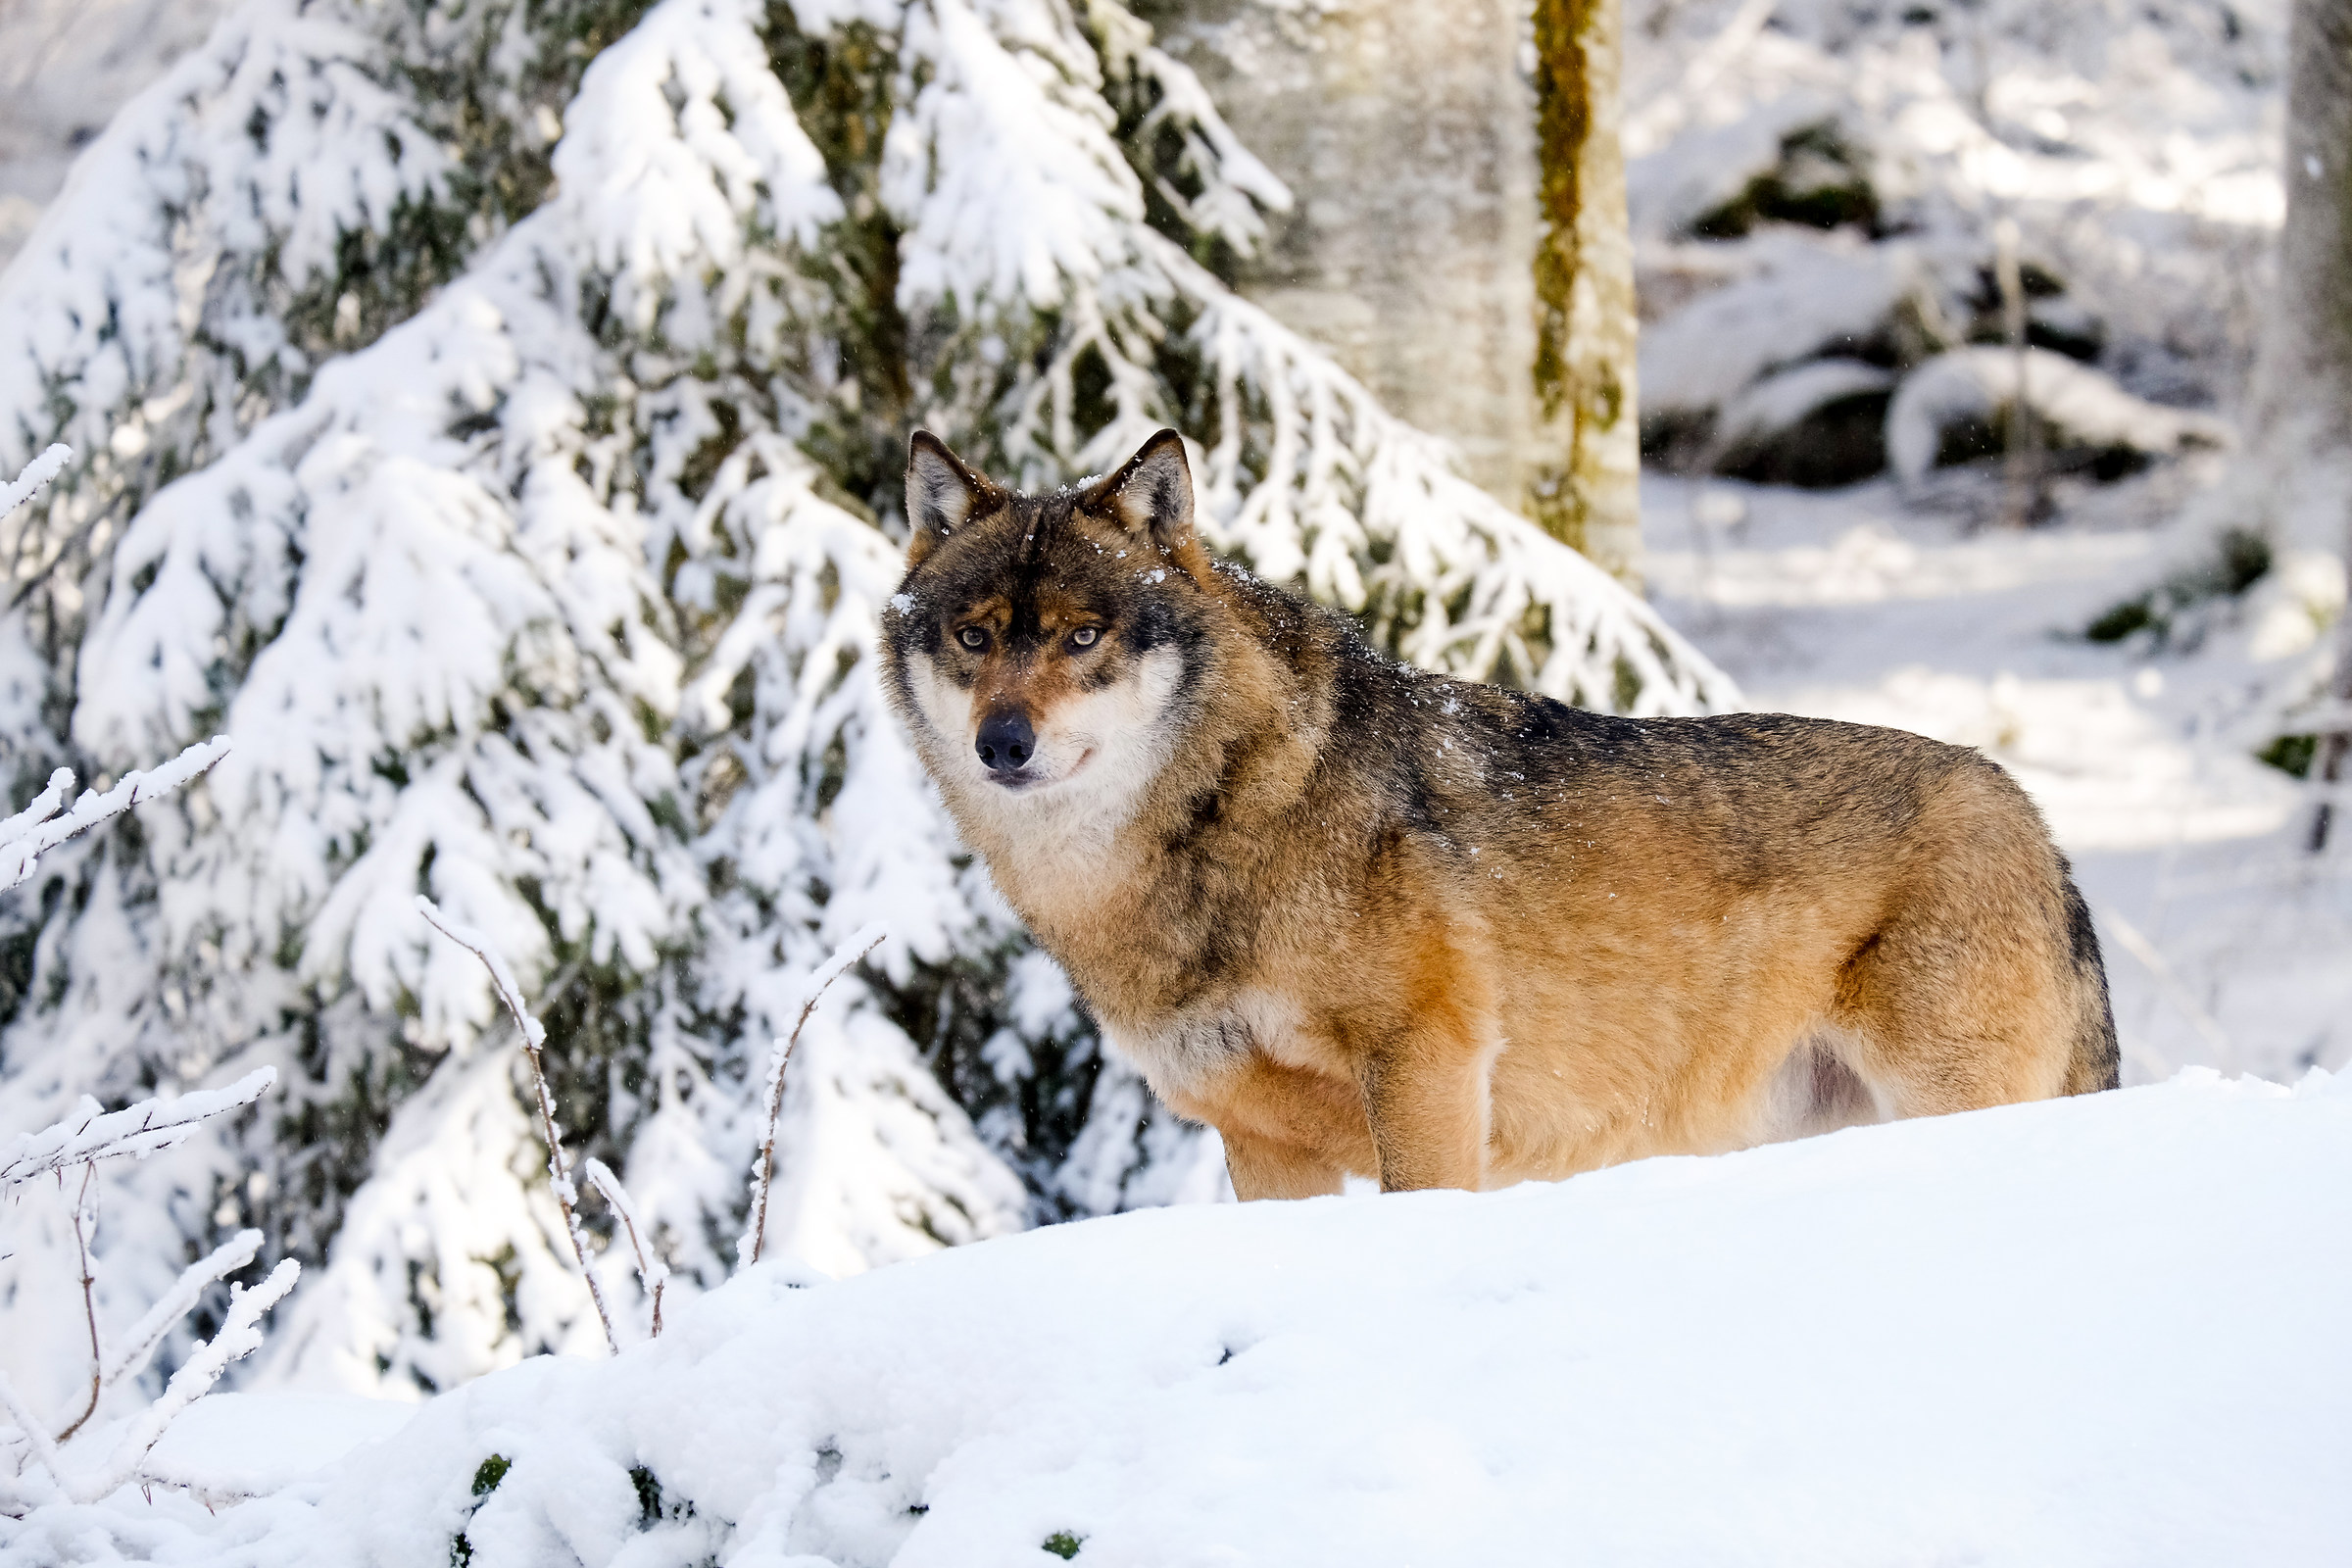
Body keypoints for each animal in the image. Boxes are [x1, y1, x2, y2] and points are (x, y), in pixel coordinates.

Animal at [878, 428, 2119, 1199]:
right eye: (975, 637)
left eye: (1083, 636)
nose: (1003, 743)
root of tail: (2037, 823)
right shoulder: (1258, 1137)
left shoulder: (1426, 1065)